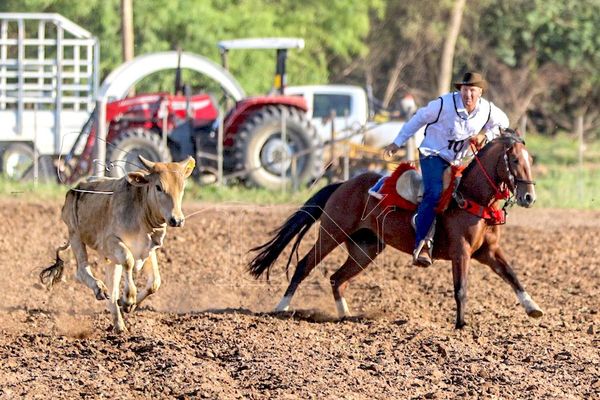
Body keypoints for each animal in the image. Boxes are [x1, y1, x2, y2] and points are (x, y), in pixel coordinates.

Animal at [41, 155, 196, 332]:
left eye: (182, 187)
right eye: (158, 186)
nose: (177, 220)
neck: (140, 209)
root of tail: (75, 189)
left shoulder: (148, 249)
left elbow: (154, 282)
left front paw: (127, 303)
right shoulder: (111, 242)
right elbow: (128, 261)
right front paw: (128, 299)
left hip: (109, 259)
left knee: (113, 289)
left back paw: (119, 324)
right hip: (75, 236)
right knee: (82, 270)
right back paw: (100, 289)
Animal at [247, 130, 544, 330]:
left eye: (530, 159)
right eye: (514, 160)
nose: (529, 197)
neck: (471, 197)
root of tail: (344, 184)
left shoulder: (488, 251)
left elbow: (512, 276)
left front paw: (533, 308)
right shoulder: (461, 252)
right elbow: (461, 289)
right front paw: (461, 326)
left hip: (365, 249)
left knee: (336, 278)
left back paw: (346, 316)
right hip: (332, 234)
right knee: (304, 265)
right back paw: (281, 308)